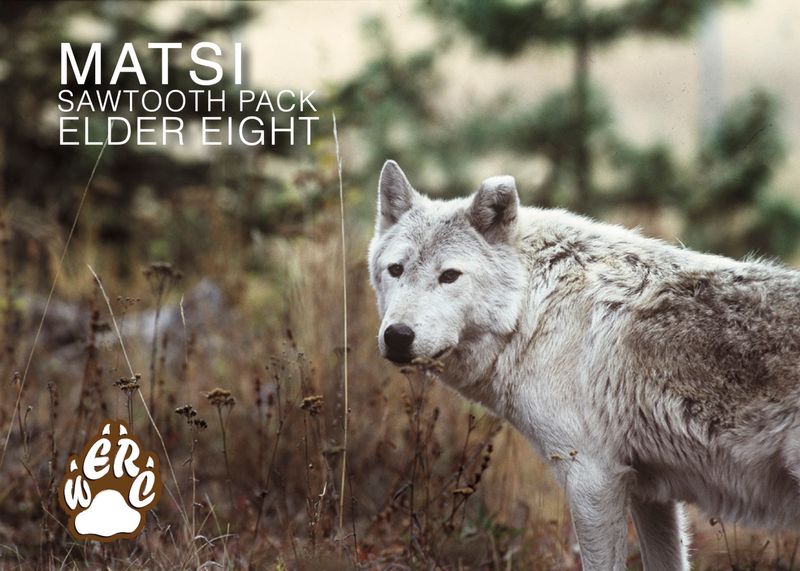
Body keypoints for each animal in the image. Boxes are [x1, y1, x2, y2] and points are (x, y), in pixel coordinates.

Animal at [368, 160, 800, 570]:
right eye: (396, 270)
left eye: (450, 276)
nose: (398, 336)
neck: (535, 310)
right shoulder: (649, 491)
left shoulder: (592, 477)